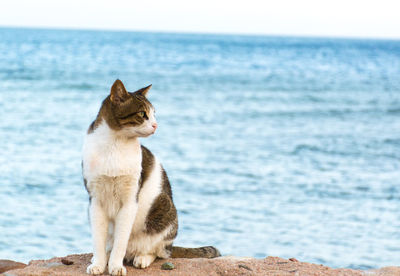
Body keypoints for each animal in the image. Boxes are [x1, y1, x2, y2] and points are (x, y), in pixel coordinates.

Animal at [81, 80, 219, 276]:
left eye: (154, 114)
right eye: (142, 114)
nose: (156, 125)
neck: (115, 144)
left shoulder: (130, 199)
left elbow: (121, 241)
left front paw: (116, 266)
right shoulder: (95, 199)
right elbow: (98, 238)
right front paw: (99, 264)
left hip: (165, 212)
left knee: (159, 251)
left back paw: (142, 258)